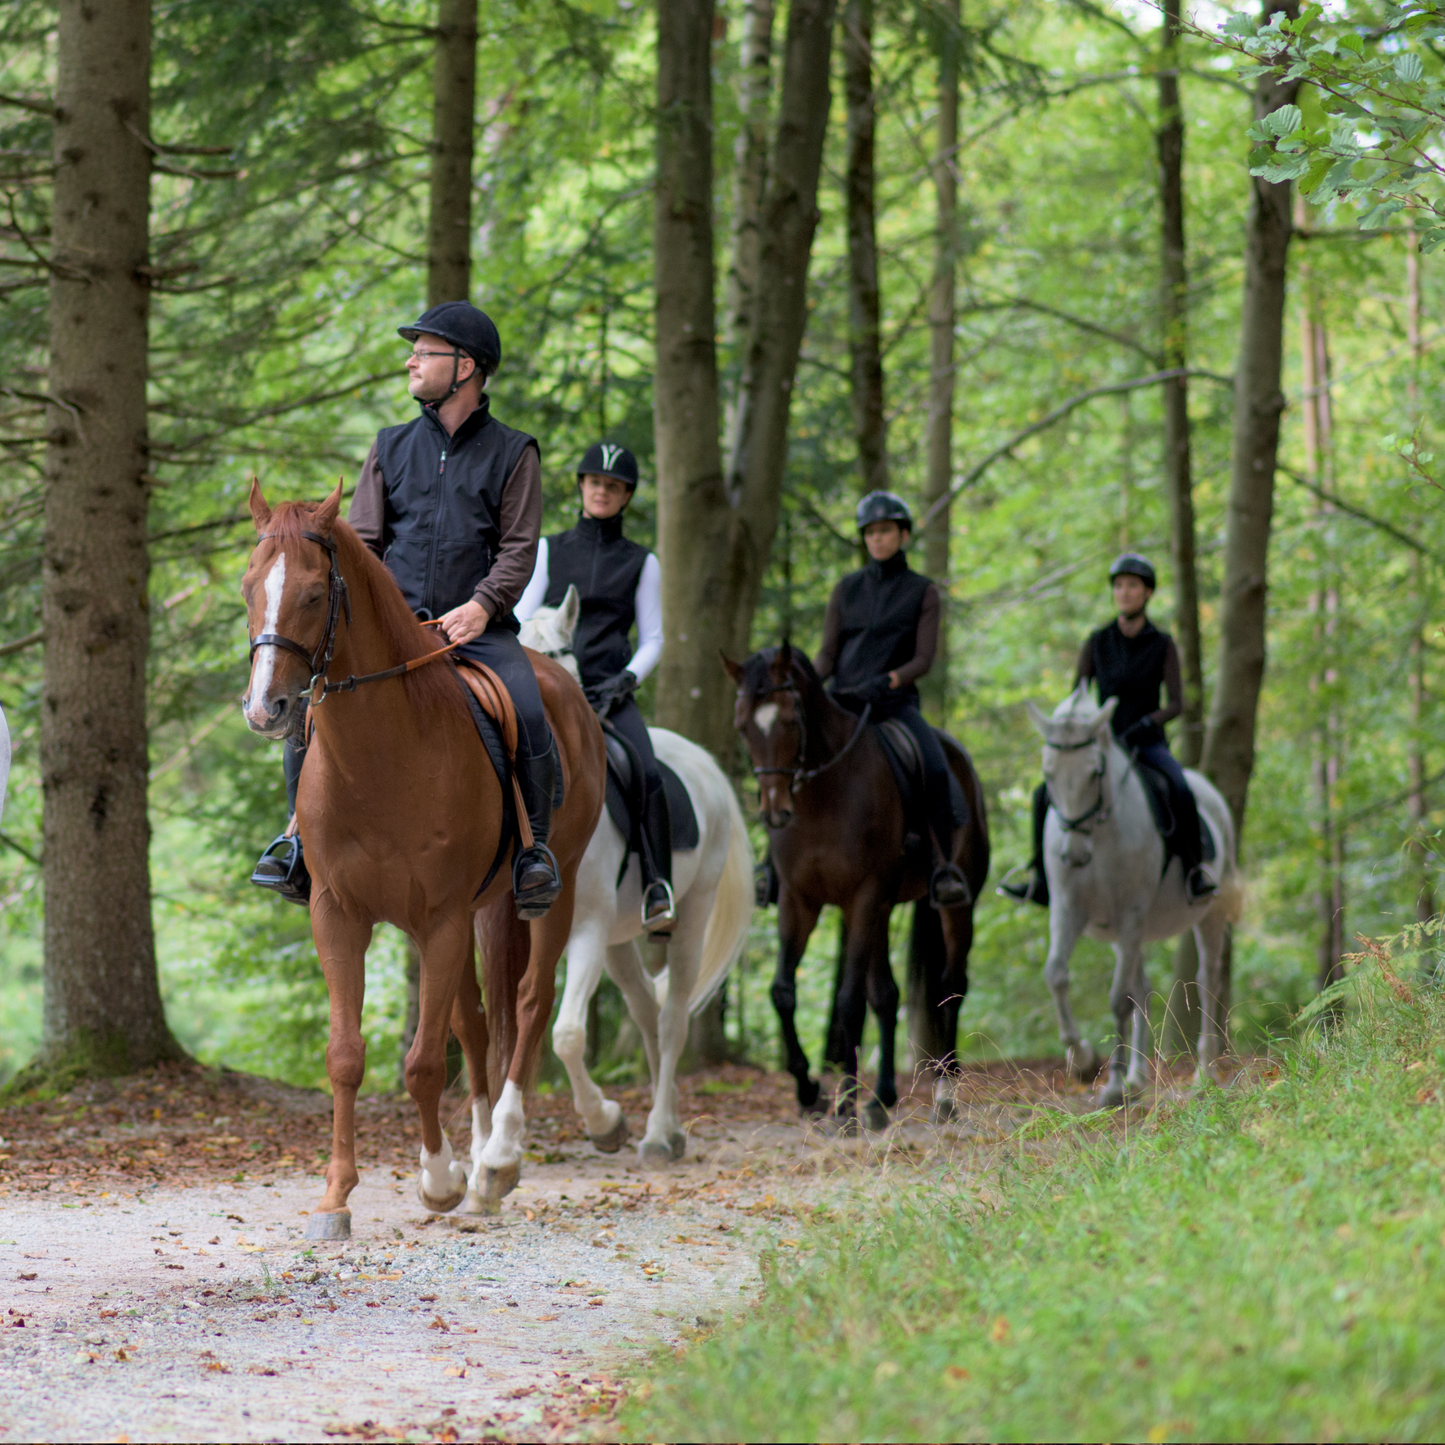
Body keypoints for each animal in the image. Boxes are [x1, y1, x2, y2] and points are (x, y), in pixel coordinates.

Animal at [239, 482, 601, 1219]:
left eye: (314, 594)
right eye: (248, 588)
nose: (266, 710)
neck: (381, 756)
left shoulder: (440, 918)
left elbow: (425, 1062)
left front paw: (439, 1179)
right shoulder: (340, 912)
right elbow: (347, 1055)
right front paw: (337, 1195)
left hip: (554, 889)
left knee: (529, 1002)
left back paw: (498, 1157)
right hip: (472, 913)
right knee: (476, 1018)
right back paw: (482, 1151)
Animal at [520, 586, 751, 1161]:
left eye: (555, 655)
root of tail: (704, 764)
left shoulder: (584, 929)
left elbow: (567, 1035)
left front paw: (604, 1122)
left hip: (689, 916)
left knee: (672, 1021)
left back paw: (658, 1134)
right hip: (618, 940)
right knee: (647, 1010)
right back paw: (668, 1124)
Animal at [728, 644, 988, 1127]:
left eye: (790, 720)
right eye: (743, 726)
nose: (774, 812)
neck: (821, 796)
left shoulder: (862, 897)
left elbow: (849, 1001)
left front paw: (844, 1104)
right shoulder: (799, 901)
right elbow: (783, 992)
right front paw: (809, 1090)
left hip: (953, 906)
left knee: (951, 984)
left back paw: (944, 1093)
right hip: (883, 910)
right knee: (887, 995)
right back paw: (882, 1099)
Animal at [1028, 682, 1242, 1098]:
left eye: (1095, 772)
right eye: (1048, 774)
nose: (1073, 855)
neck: (1099, 834)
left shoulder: (1131, 912)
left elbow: (1118, 999)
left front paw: (1110, 1085)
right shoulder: (1068, 911)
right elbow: (1056, 974)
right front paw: (1084, 1061)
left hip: (1205, 913)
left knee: (1207, 980)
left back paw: (1204, 1073)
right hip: (1126, 932)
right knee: (1141, 987)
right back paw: (1137, 1078)